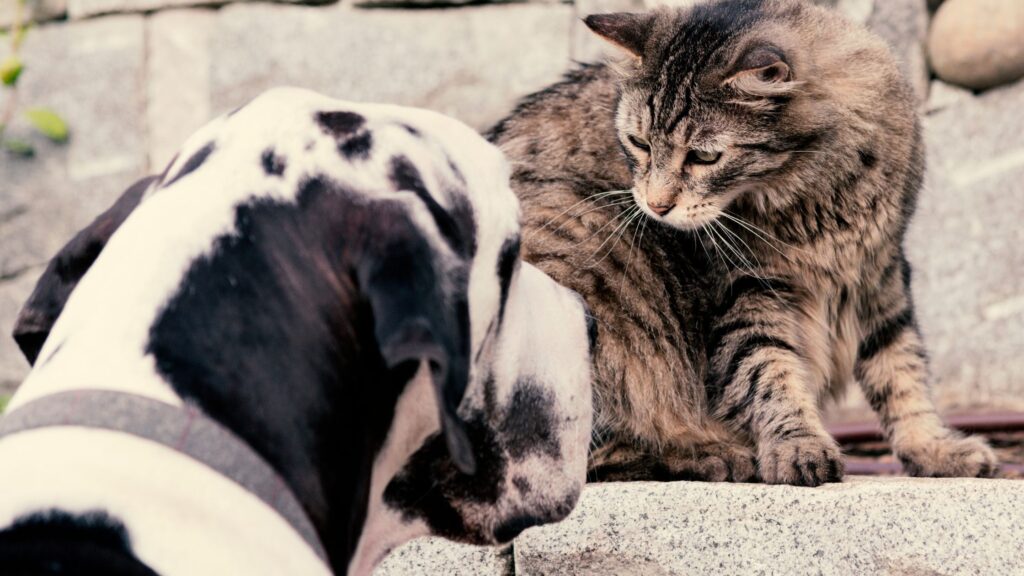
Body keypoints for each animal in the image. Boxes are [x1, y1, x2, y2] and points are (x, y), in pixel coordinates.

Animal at [487, 0, 991, 483]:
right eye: (639, 144)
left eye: (704, 157)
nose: (656, 205)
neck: (817, 199)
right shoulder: (747, 292)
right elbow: (770, 372)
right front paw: (798, 445)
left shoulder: (880, 275)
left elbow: (902, 375)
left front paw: (934, 448)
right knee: (583, 459)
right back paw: (714, 455)